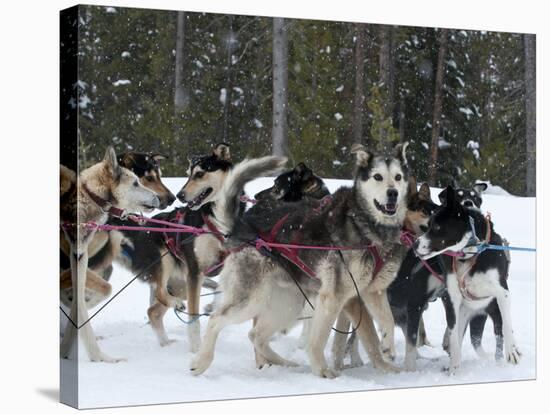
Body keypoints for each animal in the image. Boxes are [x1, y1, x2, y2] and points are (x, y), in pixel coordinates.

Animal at [192, 143, 412, 378]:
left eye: (398, 177)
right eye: (378, 176)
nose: (393, 193)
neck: (366, 225)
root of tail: (241, 226)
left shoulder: (372, 292)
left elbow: (383, 325)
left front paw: (387, 357)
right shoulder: (335, 296)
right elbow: (319, 340)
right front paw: (322, 370)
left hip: (289, 304)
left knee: (256, 336)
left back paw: (285, 364)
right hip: (253, 300)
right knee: (217, 319)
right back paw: (201, 362)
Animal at [416, 186, 524, 374]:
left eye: (436, 226)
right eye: (428, 226)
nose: (415, 244)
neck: (470, 253)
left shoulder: (502, 293)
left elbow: (506, 325)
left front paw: (511, 350)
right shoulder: (452, 299)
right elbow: (453, 336)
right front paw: (454, 369)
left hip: (492, 309)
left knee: (499, 333)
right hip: (464, 312)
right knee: (458, 337)